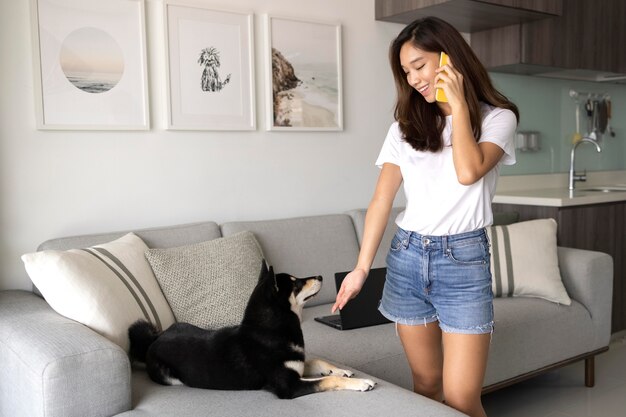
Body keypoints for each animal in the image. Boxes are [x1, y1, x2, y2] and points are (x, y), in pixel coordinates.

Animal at [125, 262, 370, 398]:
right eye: (296, 284)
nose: (319, 276)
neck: (270, 331)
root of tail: (154, 340)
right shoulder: (288, 386)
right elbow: (327, 381)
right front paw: (360, 382)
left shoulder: (296, 364)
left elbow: (318, 361)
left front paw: (340, 370)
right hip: (170, 378)